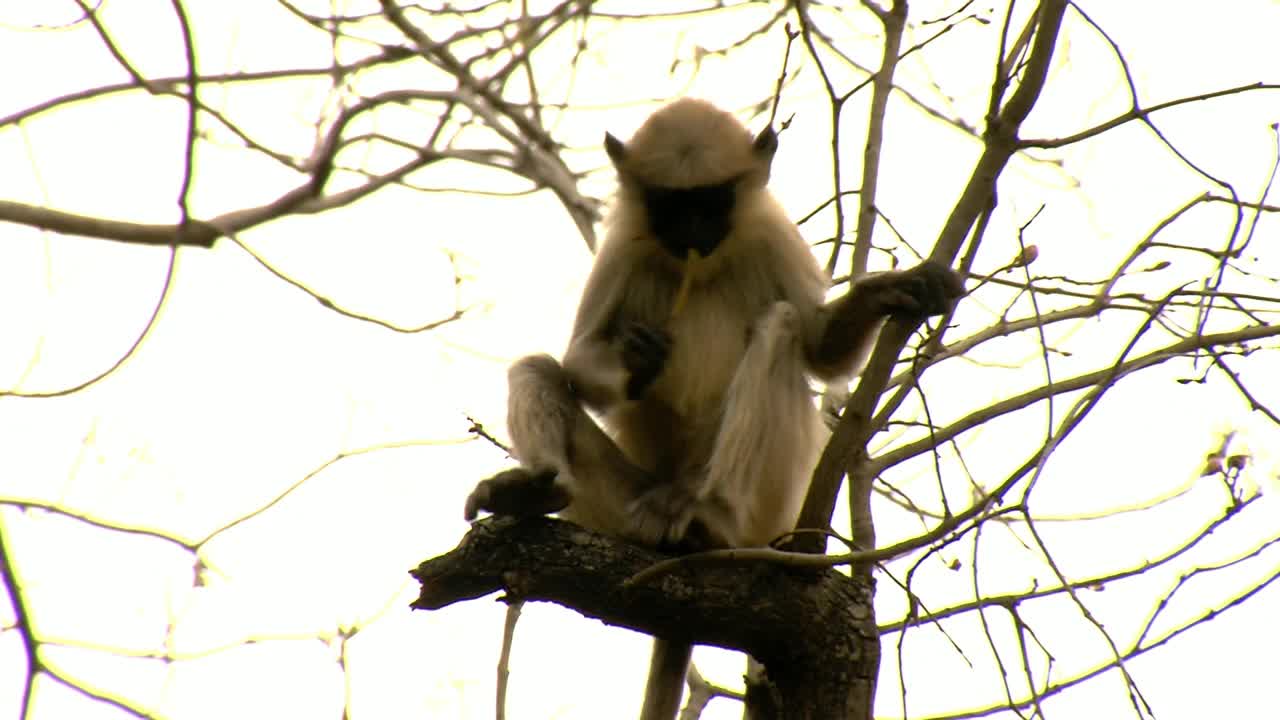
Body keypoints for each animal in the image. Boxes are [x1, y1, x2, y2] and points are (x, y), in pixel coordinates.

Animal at [463, 98, 962, 712]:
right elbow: (578, 363)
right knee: (537, 369)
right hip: (620, 502)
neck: (699, 266)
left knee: (782, 325)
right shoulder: (624, 249)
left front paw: (894, 289)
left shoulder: (772, 235)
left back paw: (711, 517)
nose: (693, 232)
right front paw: (638, 363)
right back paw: (535, 490)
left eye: (711, 202)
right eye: (671, 206)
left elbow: (821, 351)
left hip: (765, 506)